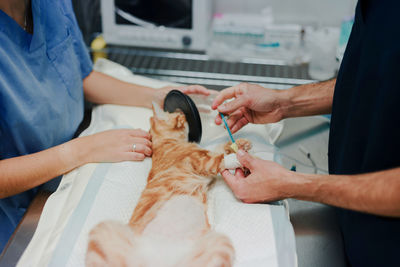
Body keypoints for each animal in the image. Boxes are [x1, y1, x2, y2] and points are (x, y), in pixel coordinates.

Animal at [86, 103, 252, 266]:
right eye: (179, 114)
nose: (184, 113)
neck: (163, 143)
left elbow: (218, 149)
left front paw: (240, 144)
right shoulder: (199, 162)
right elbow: (218, 159)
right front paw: (237, 157)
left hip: (219, 242)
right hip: (103, 229)